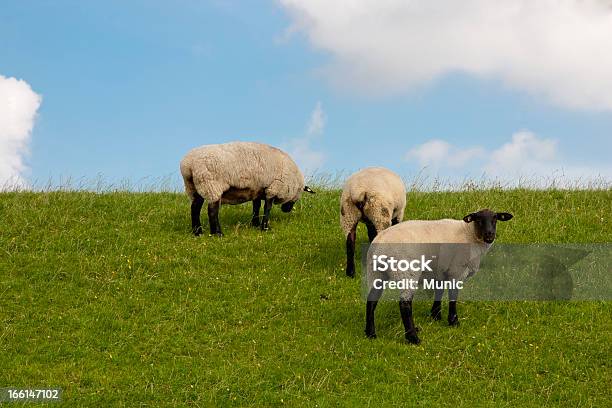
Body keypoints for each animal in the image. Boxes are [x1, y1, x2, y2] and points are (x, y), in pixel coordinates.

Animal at [178, 142, 316, 236]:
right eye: (297, 198)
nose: (286, 210)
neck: (291, 180)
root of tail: (188, 165)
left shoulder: (258, 190)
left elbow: (256, 207)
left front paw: (255, 224)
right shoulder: (272, 188)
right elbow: (267, 208)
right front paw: (264, 227)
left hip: (193, 187)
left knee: (195, 208)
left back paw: (198, 232)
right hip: (211, 185)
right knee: (212, 210)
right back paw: (217, 233)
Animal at [364, 207, 512, 344]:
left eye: (495, 219)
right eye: (479, 220)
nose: (490, 234)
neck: (469, 234)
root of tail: (380, 243)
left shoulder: (440, 271)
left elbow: (439, 291)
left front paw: (435, 316)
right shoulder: (456, 270)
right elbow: (453, 296)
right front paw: (453, 321)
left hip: (376, 272)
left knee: (371, 300)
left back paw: (371, 334)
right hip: (406, 272)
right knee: (404, 304)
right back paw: (413, 338)